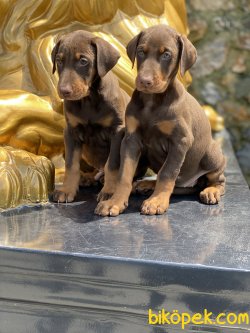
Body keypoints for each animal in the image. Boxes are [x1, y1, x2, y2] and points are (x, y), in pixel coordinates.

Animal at [50, 30, 129, 202]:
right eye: (59, 60)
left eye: (83, 61)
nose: (63, 91)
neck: (88, 99)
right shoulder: (71, 131)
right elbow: (71, 165)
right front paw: (66, 190)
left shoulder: (117, 131)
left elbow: (112, 164)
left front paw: (109, 191)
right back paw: (87, 178)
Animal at [94, 24, 226, 215]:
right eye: (141, 52)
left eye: (166, 55)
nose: (145, 81)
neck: (152, 102)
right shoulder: (131, 139)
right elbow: (125, 174)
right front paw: (115, 202)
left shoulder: (180, 141)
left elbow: (167, 173)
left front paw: (156, 202)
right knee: (178, 186)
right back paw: (146, 184)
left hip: (211, 155)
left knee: (218, 180)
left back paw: (211, 191)